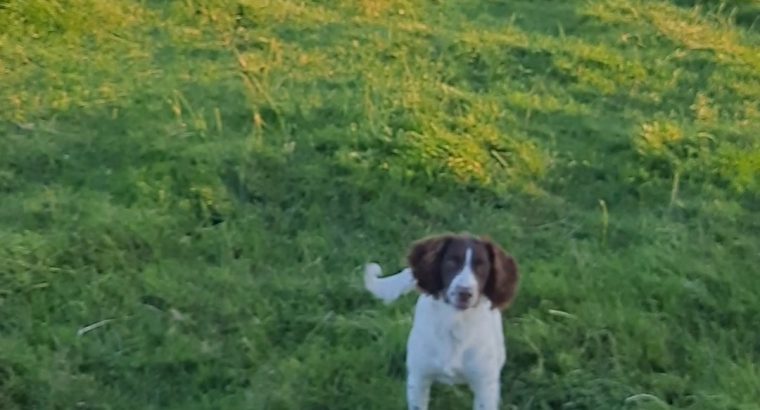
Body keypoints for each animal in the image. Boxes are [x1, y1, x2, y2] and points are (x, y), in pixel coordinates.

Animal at [362, 234, 516, 410]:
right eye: (451, 262)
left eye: (481, 266)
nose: (464, 293)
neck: (455, 322)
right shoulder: (418, 378)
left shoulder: (484, 386)